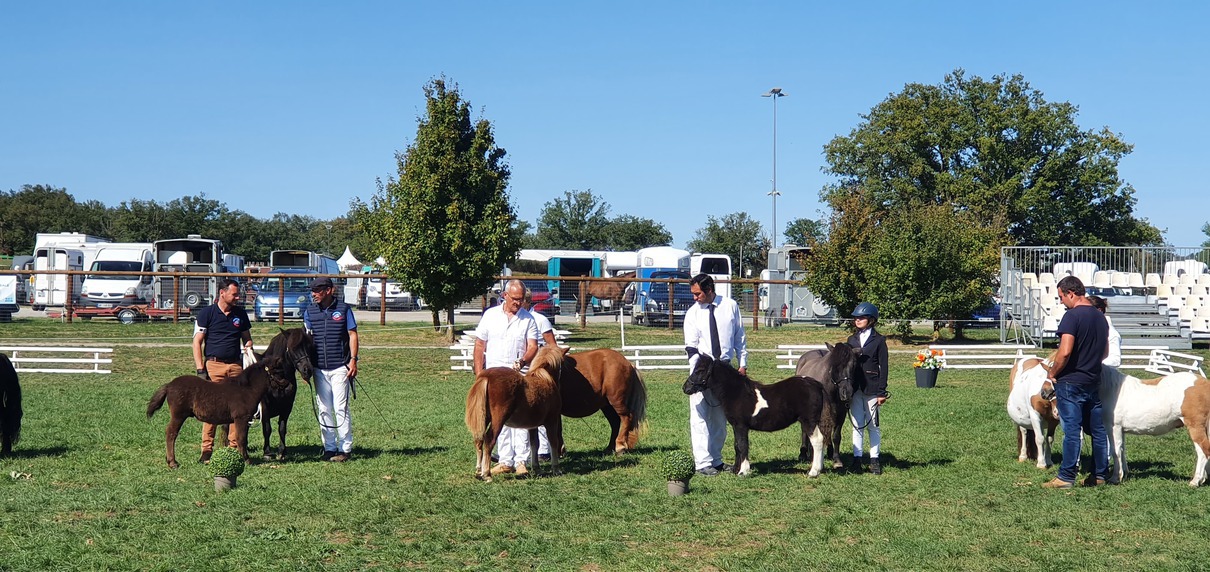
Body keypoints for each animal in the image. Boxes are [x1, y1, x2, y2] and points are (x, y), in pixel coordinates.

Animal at [256, 326, 317, 459]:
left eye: (309, 346)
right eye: (293, 348)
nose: (307, 370)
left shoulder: (287, 406)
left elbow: (282, 428)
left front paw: (282, 452)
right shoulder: (265, 407)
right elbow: (267, 429)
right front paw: (267, 452)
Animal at [467, 343, 571, 481]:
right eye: (562, 363)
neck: (546, 380)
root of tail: (486, 377)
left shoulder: (533, 425)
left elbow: (534, 444)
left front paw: (537, 469)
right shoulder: (552, 421)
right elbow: (553, 442)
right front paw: (556, 469)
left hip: (484, 418)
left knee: (479, 440)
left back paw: (479, 471)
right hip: (498, 419)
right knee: (489, 440)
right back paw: (487, 474)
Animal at [682, 355, 832, 474]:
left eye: (700, 371)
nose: (685, 388)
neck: (737, 392)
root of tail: (816, 384)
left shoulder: (741, 426)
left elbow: (742, 445)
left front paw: (743, 471)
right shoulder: (736, 426)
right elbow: (737, 445)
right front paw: (735, 470)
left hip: (809, 421)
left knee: (817, 441)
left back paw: (814, 472)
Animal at [793, 338, 861, 469]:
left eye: (854, 365)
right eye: (835, 366)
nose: (847, 393)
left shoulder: (840, 414)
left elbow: (836, 436)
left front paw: (836, 460)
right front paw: (814, 458)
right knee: (804, 430)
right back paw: (803, 453)